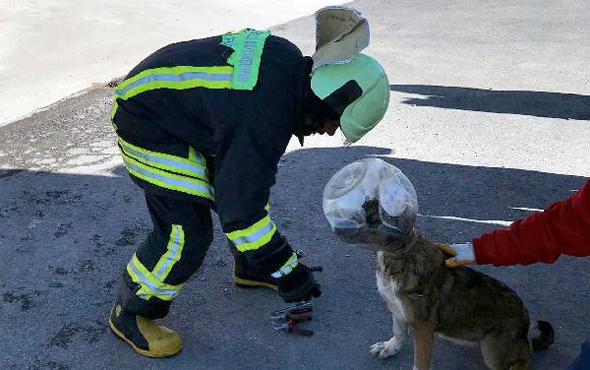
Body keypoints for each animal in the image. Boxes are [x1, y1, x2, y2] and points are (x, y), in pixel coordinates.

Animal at [358, 201, 556, 370]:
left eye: (373, 220)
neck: (400, 256)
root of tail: (525, 324)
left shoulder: (423, 328)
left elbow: (420, 363)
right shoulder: (396, 307)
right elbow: (398, 332)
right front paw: (389, 348)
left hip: (492, 351)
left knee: (524, 359)